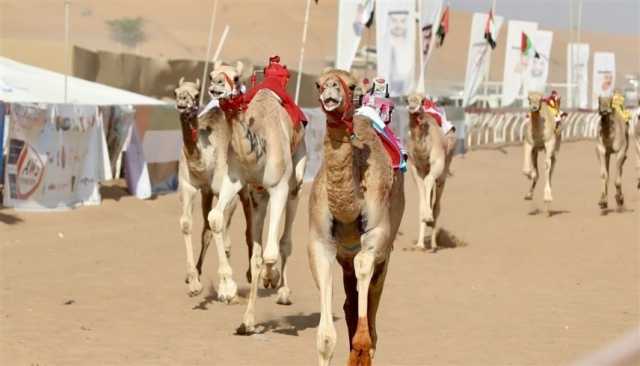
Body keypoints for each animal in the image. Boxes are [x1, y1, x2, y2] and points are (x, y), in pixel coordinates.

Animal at [176, 77, 254, 298]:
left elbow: (219, 226)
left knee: (248, 228)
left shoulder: (228, 191)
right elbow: (188, 224)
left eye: (196, 95)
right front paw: (193, 281)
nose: (182, 102)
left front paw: (227, 287)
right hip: (208, 194)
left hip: (245, 190)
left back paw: (251, 274)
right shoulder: (190, 186)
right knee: (207, 231)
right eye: (176, 92)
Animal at [205, 60, 304, 334]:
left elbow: (271, 251)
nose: (216, 85)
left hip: (295, 181)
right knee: (256, 250)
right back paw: (248, 321)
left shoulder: (279, 187)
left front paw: (272, 278)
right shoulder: (234, 180)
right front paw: (229, 289)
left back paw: (283, 291)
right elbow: (215, 219)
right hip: (258, 197)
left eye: (236, 77)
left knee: (284, 241)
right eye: (212, 74)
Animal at [308, 69, 402, 366]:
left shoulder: (378, 236)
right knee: (350, 301)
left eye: (350, 85)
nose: (331, 88)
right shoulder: (320, 243)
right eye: (318, 83)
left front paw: (361, 348)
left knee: (372, 298)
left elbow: (364, 264)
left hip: (385, 255)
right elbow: (325, 339)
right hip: (345, 258)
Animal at [408, 92, 452, 252]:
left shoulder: (438, 162)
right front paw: (420, 244)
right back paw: (423, 243)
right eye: (407, 98)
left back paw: (434, 244)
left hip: (444, 172)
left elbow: (428, 181)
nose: (413, 105)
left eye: (422, 100)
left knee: (437, 205)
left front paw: (428, 217)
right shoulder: (415, 167)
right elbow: (421, 193)